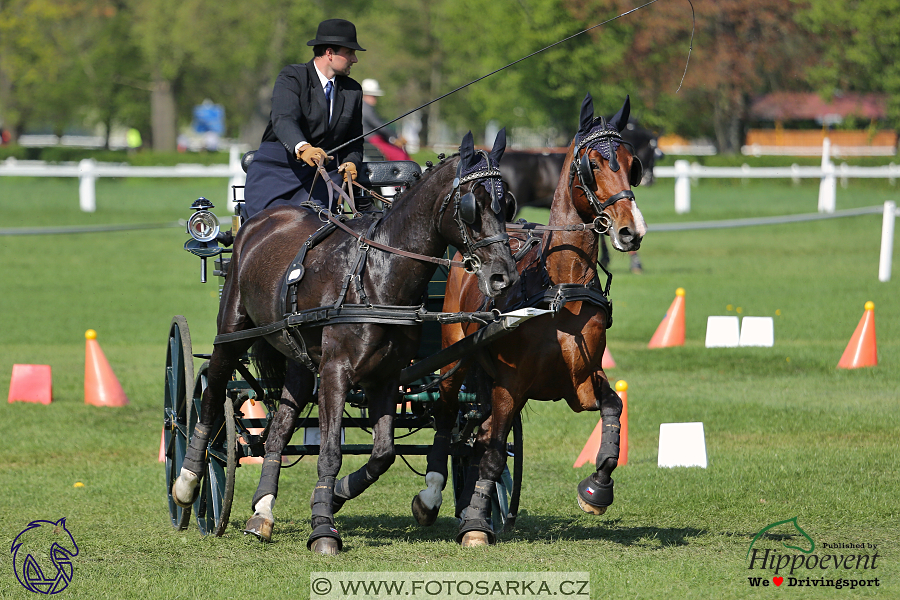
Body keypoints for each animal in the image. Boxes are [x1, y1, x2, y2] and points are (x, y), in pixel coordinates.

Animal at [171, 130, 516, 552]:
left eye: (506, 203)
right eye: (470, 206)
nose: (503, 275)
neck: (376, 276)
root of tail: (260, 220)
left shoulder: (386, 375)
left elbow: (383, 454)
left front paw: (335, 496)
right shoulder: (336, 371)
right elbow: (331, 452)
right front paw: (323, 527)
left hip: (300, 359)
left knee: (279, 428)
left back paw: (263, 511)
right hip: (232, 332)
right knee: (209, 397)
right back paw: (187, 482)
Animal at [412, 92, 652, 544]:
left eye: (633, 163)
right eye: (592, 165)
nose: (632, 232)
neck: (559, 290)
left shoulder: (581, 381)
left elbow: (613, 408)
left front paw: (597, 488)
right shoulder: (511, 384)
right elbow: (491, 452)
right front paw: (475, 524)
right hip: (454, 356)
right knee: (449, 418)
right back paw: (431, 498)